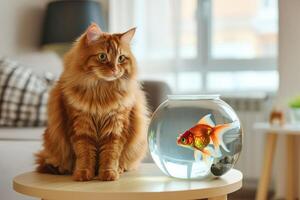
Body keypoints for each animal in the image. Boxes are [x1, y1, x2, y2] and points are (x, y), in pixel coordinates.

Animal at [35, 23, 149, 181]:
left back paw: (119, 169)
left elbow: (110, 155)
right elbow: (85, 154)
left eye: (121, 58)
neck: (101, 92)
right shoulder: (81, 127)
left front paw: (109, 174)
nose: (114, 69)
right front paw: (83, 174)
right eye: (102, 56)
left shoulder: (116, 127)